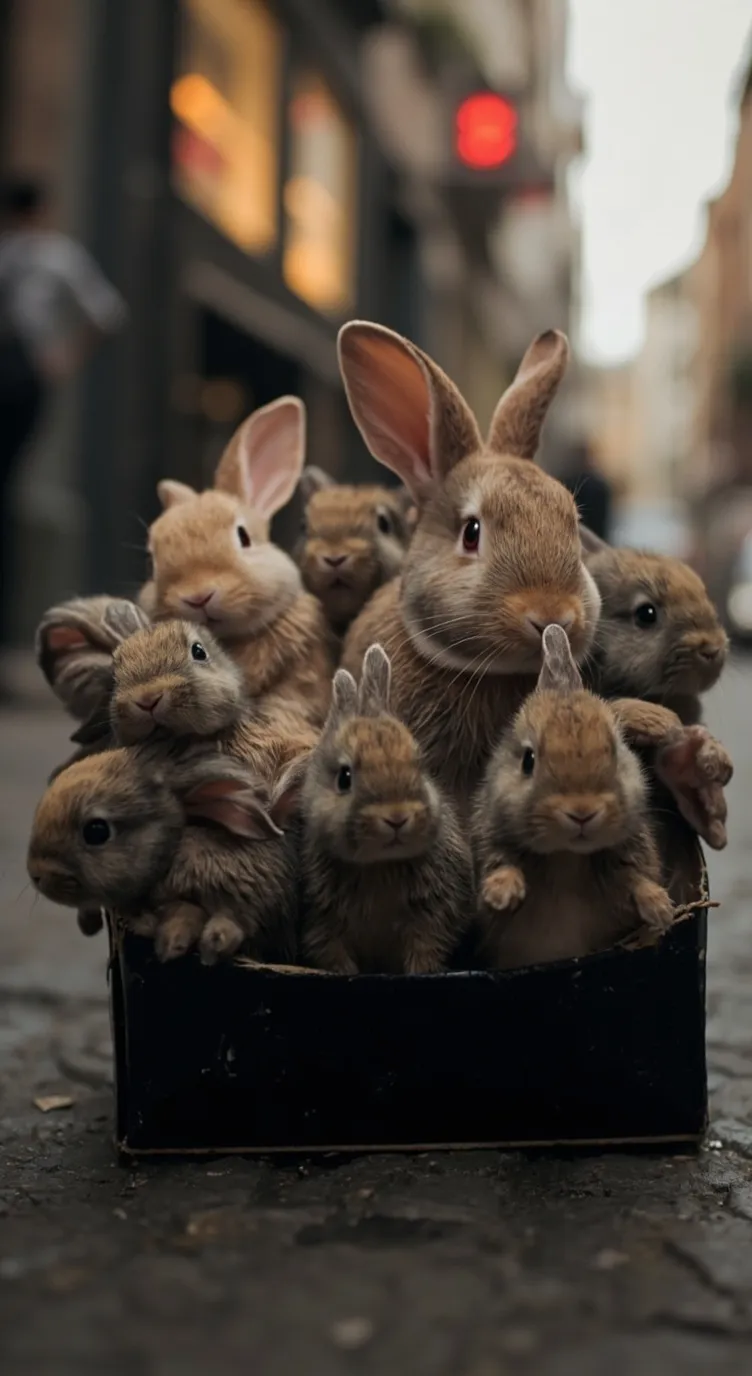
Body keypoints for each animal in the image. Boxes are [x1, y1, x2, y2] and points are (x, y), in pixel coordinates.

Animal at [292, 644, 474, 975]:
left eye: (419, 764)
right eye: (344, 777)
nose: (397, 817)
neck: (380, 864)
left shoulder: (431, 920)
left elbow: (425, 948)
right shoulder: (322, 925)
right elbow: (334, 954)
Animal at [472, 625, 674, 971]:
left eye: (616, 752)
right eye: (528, 760)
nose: (582, 812)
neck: (567, 856)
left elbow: (637, 880)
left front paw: (661, 907)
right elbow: (501, 864)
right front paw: (502, 892)